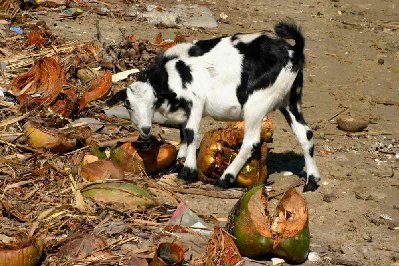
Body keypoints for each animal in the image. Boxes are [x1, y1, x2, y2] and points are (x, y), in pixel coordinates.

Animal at [106, 19, 322, 192]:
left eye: (153, 102)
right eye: (128, 104)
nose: (145, 129)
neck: (170, 72)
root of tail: (293, 51)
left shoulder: (195, 100)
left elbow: (191, 133)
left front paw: (188, 171)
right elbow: (183, 133)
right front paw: (180, 161)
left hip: (256, 104)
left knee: (251, 141)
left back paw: (226, 178)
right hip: (289, 100)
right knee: (305, 133)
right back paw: (311, 181)